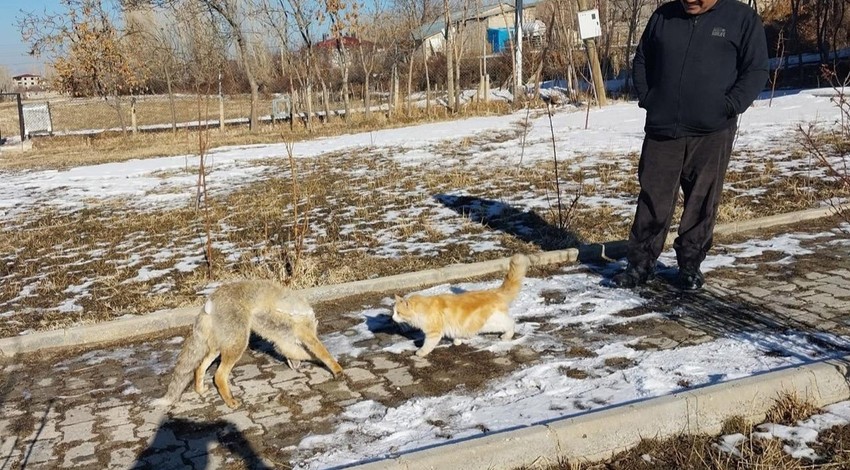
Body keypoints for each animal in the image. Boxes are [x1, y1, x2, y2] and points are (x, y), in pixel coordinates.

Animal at [152, 280, 342, 408]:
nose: (296, 367)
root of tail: (209, 302)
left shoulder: (281, 341)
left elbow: (305, 353)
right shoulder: (302, 334)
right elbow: (322, 352)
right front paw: (337, 369)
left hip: (219, 347)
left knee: (199, 367)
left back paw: (200, 390)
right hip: (238, 344)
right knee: (219, 376)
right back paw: (230, 401)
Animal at [392, 253, 528, 356]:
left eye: (398, 312)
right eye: (393, 312)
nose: (392, 318)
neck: (423, 308)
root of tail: (494, 292)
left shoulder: (433, 333)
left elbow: (427, 345)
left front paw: (420, 352)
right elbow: (457, 334)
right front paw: (457, 341)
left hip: (492, 323)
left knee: (511, 323)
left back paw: (507, 336)